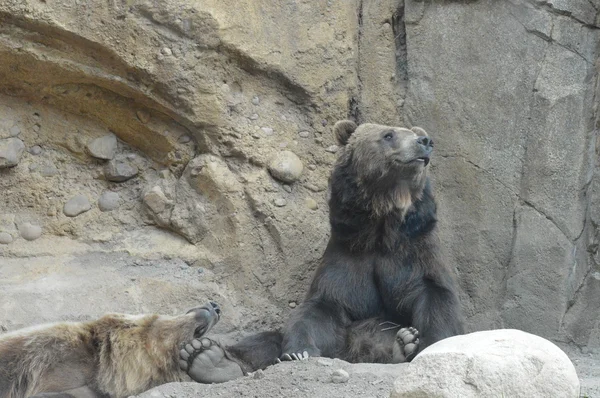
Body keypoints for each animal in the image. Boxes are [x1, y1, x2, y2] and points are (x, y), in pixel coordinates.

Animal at [176, 119, 466, 382]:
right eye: (388, 134)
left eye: (415, 133)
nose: (424, 142)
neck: (380, 228)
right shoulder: (347, 256)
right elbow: (323, 308)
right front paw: (299, 352)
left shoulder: (414, 252)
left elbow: (433, 296)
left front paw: (426, 345)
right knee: (267, 339)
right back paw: (208, 358)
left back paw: (403, 344)